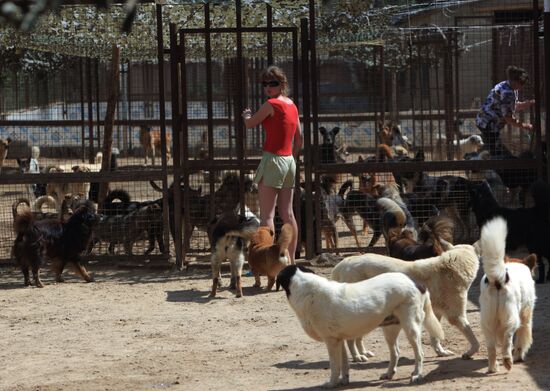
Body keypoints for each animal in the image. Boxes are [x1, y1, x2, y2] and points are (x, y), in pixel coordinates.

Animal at [278, 266, 446, 388]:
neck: (306, 290)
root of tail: (417, 283)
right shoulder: (339, 340)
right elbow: (344, 364)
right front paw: (344, 381)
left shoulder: (331, 341)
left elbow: (334, 366)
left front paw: (332, 383)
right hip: (390, 329)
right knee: (396, 352)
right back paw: (389, 373)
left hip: (410, 327)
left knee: (420, 353)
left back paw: (417, 374)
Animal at [332, 245, 484, 362]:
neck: (450, 267)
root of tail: (342, 263)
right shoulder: (456, 315)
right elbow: (473, 338)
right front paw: (470, 352)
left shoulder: (435, 313)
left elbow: (435, 337)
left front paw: (441, 352)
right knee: (351, 339)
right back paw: (357, 357)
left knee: (358, 337)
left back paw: (364, 353)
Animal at [480, 217, 536, 374]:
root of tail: (498, 278)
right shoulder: (526, 315)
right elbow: (522, 339)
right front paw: (518, 356)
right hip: (512, 317)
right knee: (508, 337)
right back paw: (507, 360)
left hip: (487, 321)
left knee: (491, 347)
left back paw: (493, 367)